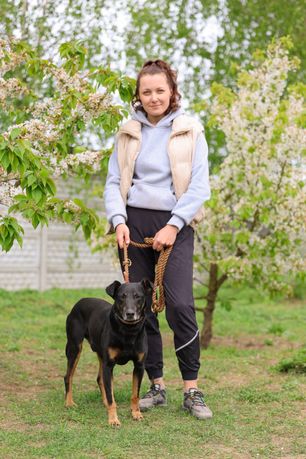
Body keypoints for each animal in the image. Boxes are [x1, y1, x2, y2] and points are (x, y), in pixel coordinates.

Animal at [63, 280, 152, 428]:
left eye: (138, 296)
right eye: (122, 297)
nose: (130, 313)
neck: (128, 330)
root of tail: (80, 301)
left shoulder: (139, 366)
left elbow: (135, 394)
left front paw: (136, 413)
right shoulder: (109, 365)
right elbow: (111, 397)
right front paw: (113, 419)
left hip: (100, 354)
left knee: (100, 379)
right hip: (75, 347)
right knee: (68, 376)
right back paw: (69, 402)